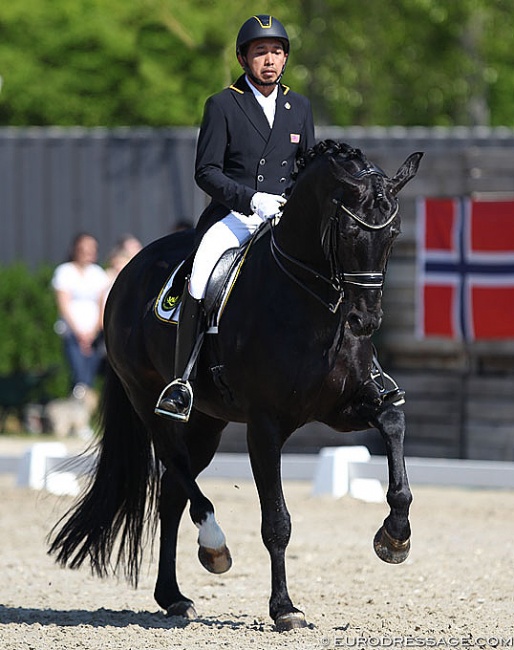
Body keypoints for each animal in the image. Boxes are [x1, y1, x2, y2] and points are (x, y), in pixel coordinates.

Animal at [50, 140, 422, 628]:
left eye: (393, 234)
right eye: (347, 233)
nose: (365, 321)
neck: (311, 302)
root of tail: (127, 272)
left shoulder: (344, 407)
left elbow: (394, 425)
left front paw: (395, 537)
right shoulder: (264, 427)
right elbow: (276, 522)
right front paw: (285, 609)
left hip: (207, 422)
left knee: (172, 491)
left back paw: (174, 596)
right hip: (152, 403)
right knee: (177, 473)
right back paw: (213, 545)